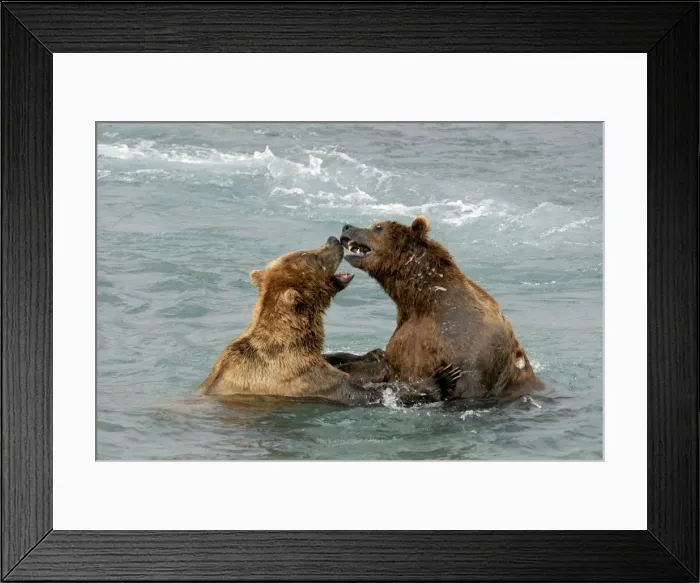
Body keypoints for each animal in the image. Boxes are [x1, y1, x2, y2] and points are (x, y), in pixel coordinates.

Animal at [198, 235, 462, 407]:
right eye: (311, 256)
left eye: (305, 249)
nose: (333, 239)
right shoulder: (298, 377)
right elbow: (359, 391)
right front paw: (440, 379)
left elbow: (336, 360)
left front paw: (373, 354)